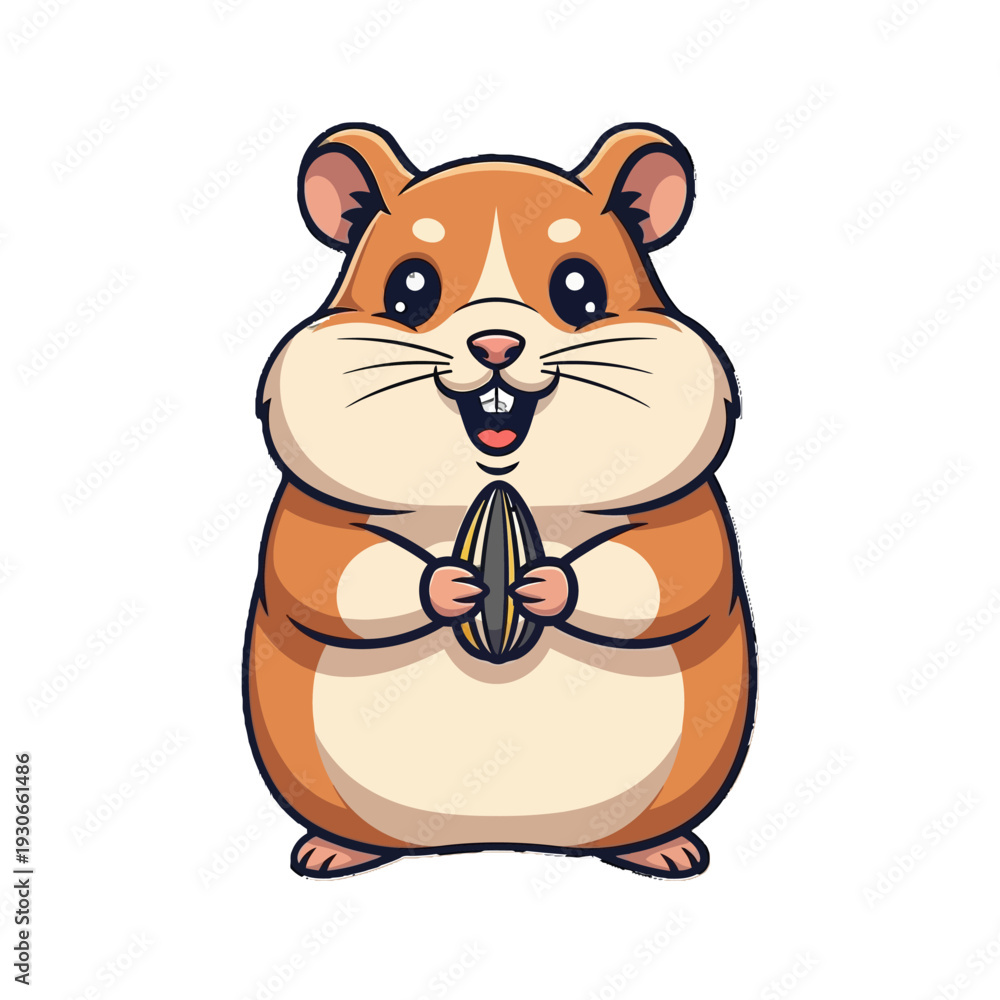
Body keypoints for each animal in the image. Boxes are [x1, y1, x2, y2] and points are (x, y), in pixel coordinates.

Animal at [243, 122, 756, 880]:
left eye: (579, 290)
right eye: (410, 290)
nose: (494, 342)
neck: (498, 485)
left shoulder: (690, 515)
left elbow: (667, 576)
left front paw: (544, 584)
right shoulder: (306, 516)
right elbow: (327, 576)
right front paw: (452, 584)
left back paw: (667, 850)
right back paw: (331, 850)